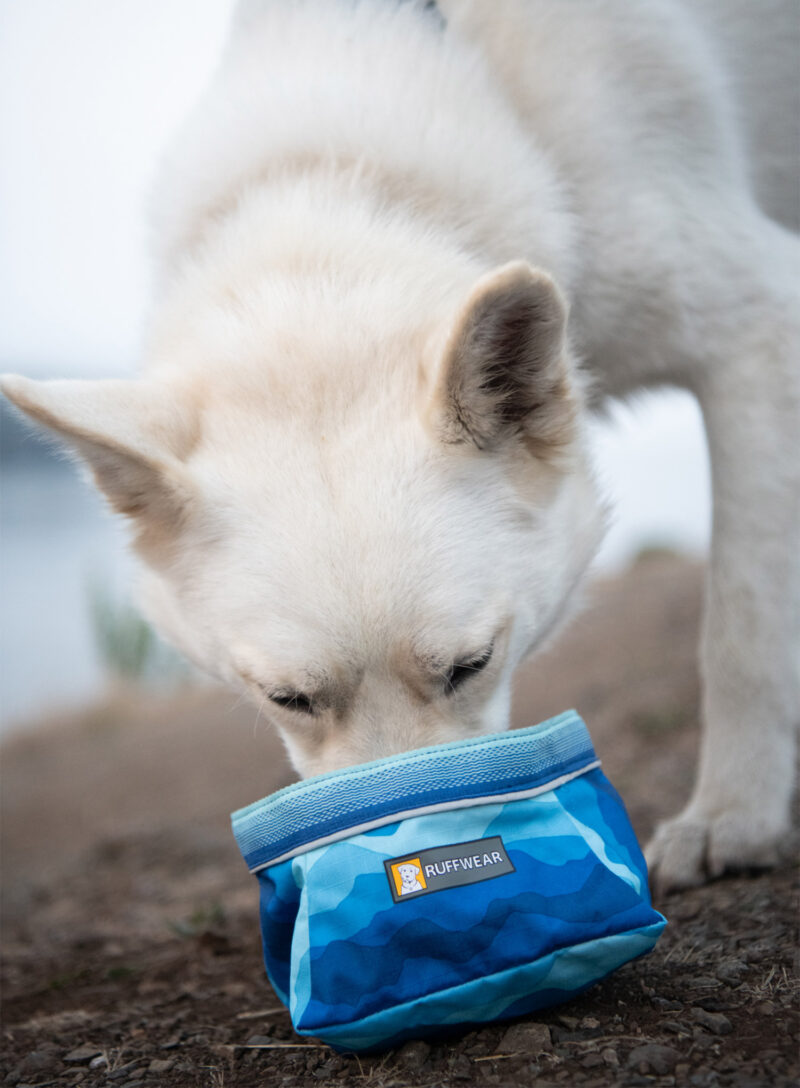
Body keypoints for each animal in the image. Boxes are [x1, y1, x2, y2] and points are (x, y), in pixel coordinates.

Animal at [3, 0, 796, 887]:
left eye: (471, 666)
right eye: (287, 699)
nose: (427, 863)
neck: (336, 168)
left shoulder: (759, 322)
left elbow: (744, 624)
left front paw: (733, 814)